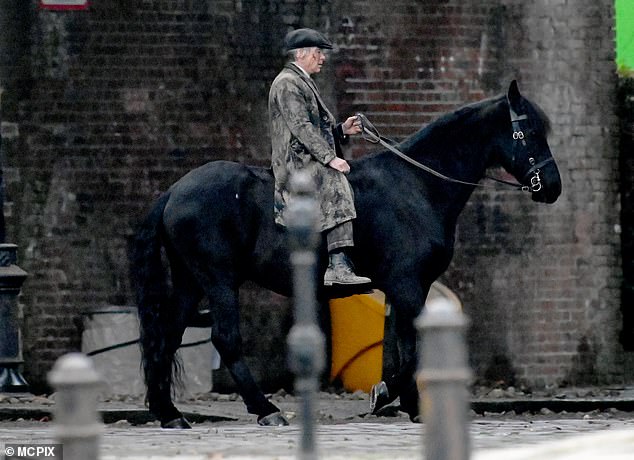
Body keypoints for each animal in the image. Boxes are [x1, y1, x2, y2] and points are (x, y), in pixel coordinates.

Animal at [132, 80, 556, 428]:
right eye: (531, 132)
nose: (552, 186)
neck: (416, 185)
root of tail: (174, 191)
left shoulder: (403, 289)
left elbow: (399, 347)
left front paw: (409, 404)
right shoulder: (408, 286)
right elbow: (408, 352)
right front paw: (386, 395)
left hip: (191, 282)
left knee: (167, 336)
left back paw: (168, 413)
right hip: (218, 281)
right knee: (225, 338)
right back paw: (266, 409)